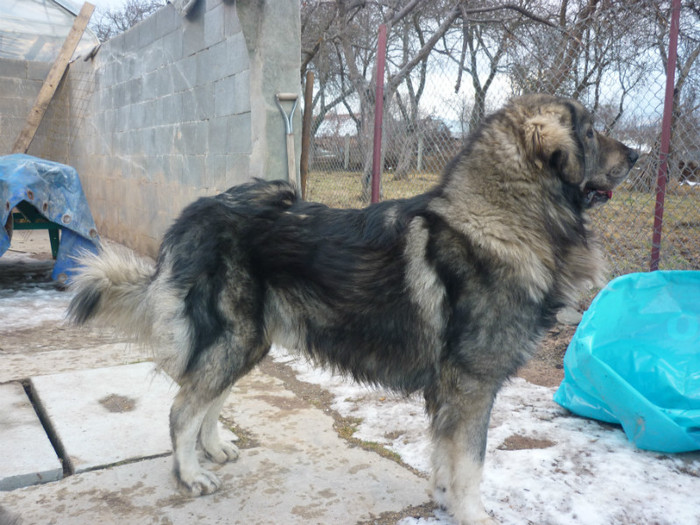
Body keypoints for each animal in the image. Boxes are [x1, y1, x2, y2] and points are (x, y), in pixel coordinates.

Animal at [68, 95, 636, 524]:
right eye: (589, 132)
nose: (634, 154)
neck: (501, 217)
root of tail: (196, 213)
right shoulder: (472, 386)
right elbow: (470, 465)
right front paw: (472, 514)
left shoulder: (450, 392)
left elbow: (444, 458)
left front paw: (442, 500)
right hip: (235, 338)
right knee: (183, 408)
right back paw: (190, 474)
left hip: (248, 341)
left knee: (208, 398)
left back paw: (215, 447)